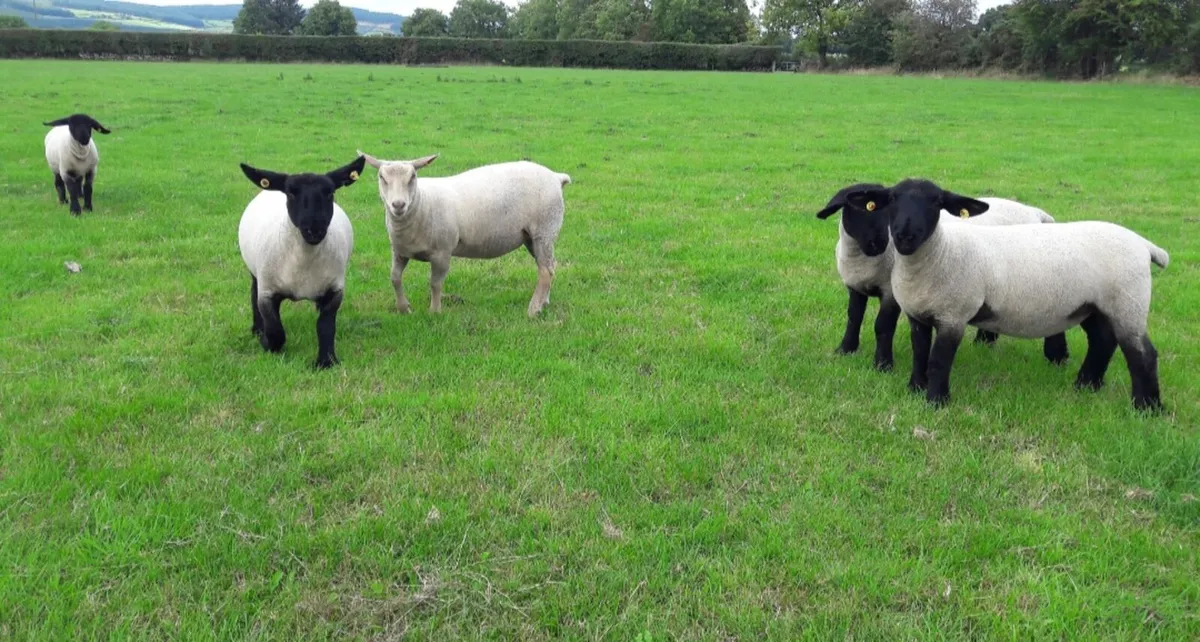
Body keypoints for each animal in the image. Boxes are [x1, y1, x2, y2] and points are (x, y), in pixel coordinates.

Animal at [237, 156, 366, 369]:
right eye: (290, 193)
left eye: (330, 192)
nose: (314, 229)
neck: (303, 262)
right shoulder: (268, 292)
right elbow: (276, 331)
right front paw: (266, 342)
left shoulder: (335, 290)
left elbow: (325, 326)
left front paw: (326, 362)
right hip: (256, 272)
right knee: (253, 292)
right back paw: (257, 329)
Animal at [357, 150, 571, 318]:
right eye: (382, 178)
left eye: (413, 177)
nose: (398, 205)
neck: (423, 202)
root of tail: (556, 177)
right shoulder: (400, 251)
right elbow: (394, 278)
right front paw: (404, 309)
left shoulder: (442, 252)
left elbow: (435, 284)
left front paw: (435, 312)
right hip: (531, 237)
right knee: (549, 266)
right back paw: (544, 302)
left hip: (544, 230)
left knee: (545, 271)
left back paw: (533, 309)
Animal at [817, 183, 1067, 372]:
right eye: (862, 209)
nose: (879, 243)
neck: (863, 260)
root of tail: (1038, 214)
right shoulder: (855, 286)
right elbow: (854, 317)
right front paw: (845, 349)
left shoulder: (891, 291)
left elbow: (882, 325)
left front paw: (883, 364)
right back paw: (984, 343)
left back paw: (1057, 358)